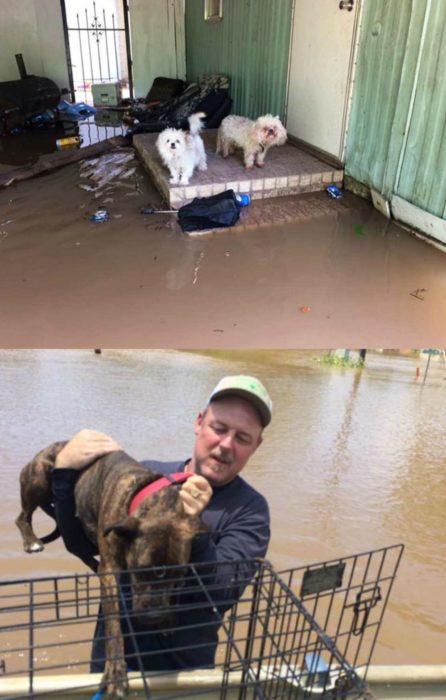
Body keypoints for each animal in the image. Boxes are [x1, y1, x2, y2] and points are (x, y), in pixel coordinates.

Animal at [15, 446, 207, 696]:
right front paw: (115, 670)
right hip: (39, 478)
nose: (154, 617)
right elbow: (114, 623)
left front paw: (169, 620)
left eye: (179, 580)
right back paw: (31, 541)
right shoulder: (111, 573)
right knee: (23, 517)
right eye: (141, 571)